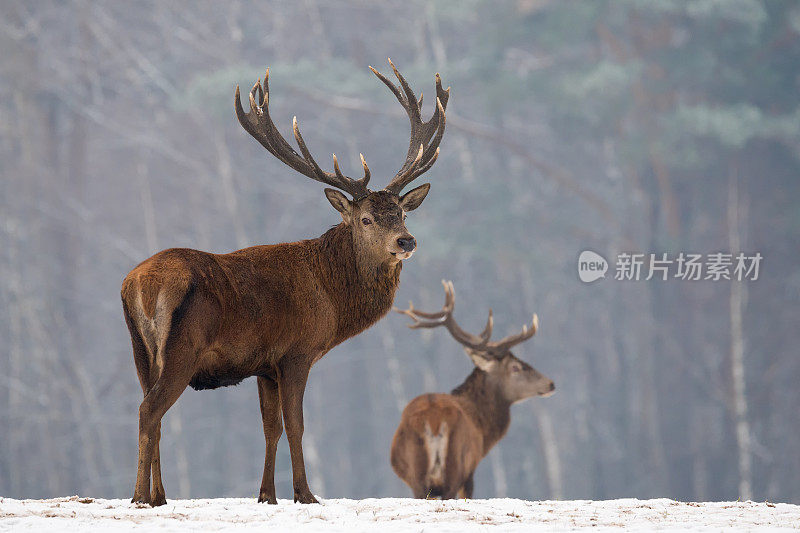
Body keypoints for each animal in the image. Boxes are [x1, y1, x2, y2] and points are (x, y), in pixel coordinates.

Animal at [123, 60, 450, 504]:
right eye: (366, 219)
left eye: (401, 213)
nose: (406, 241)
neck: (332, 297)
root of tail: (138, 286)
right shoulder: (297, 352)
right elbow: (296, 425)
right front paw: (306, 494)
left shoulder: (263, 366)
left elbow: (270, 428)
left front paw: (267, 495)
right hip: (181, 349)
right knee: (149, 410)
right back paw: (140, 496)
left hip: (141, 351)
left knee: (150, 410)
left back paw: (159, 495)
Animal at [390, 282, 552, 498]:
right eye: (515, 367)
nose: (550, 383)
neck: (484, 431)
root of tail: (434, 421)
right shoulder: (470, 471)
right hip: (454, 468)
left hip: (418, 477)